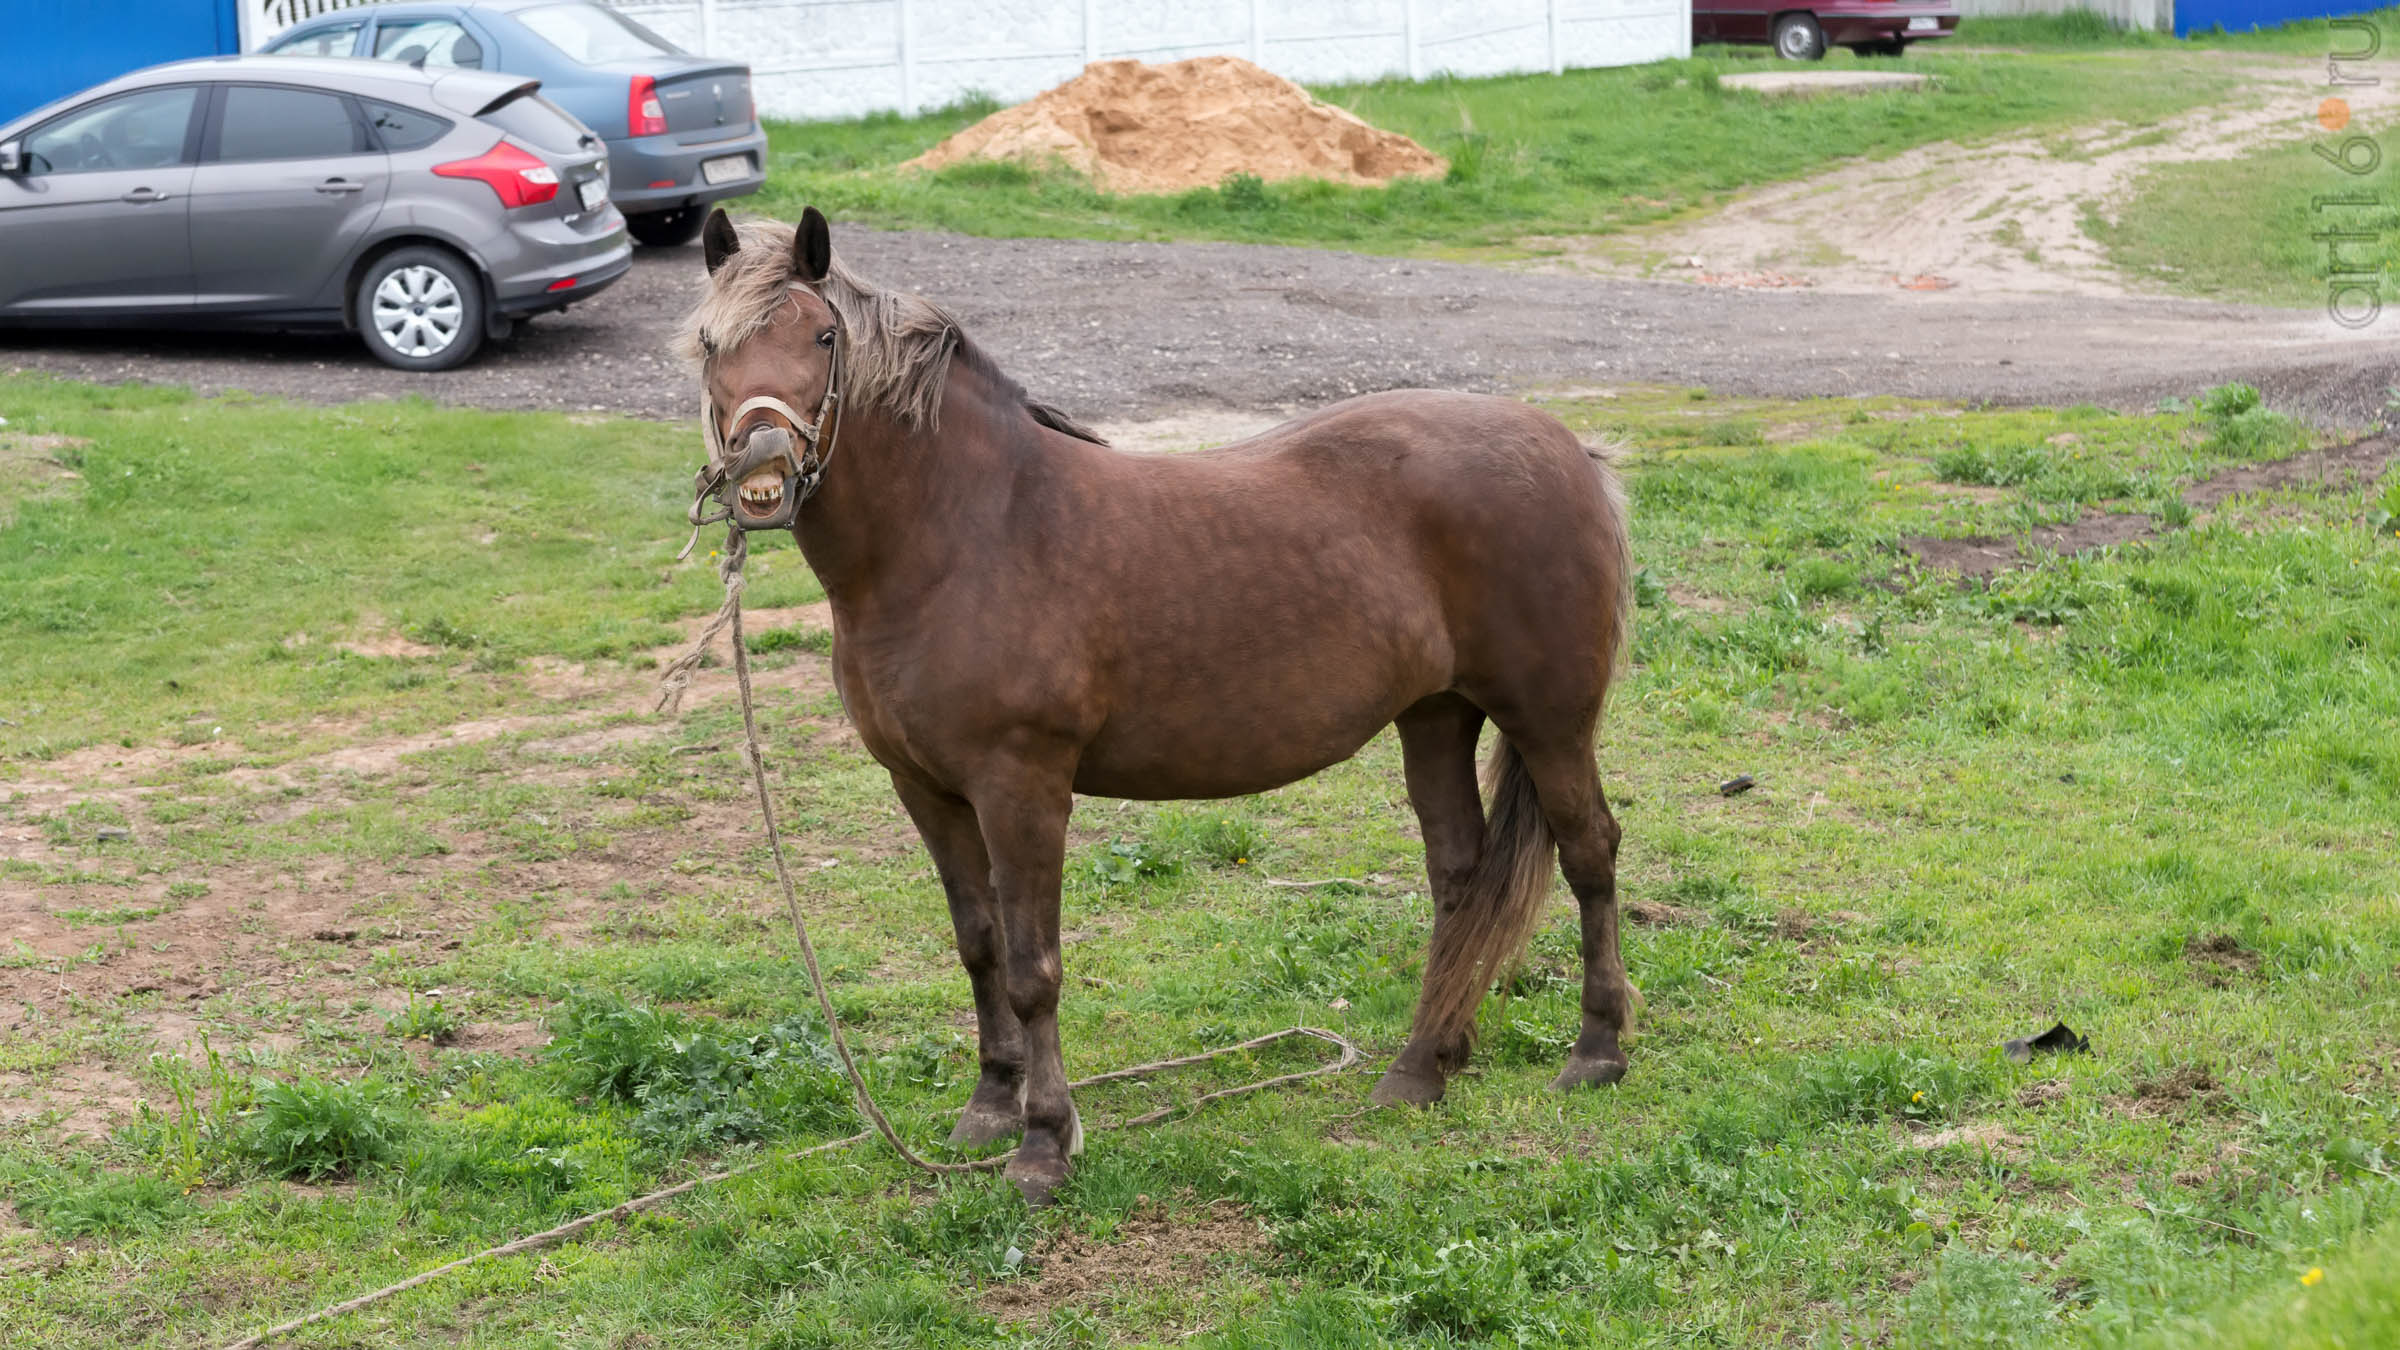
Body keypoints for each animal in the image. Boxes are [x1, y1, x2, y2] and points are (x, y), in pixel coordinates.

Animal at [686, 207, 1641, 1196]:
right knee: (1460, 875)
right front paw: (989, 1106)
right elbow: (978, 943)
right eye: (710, 344)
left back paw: (1596, 1050)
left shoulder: (1021, 788)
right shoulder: (926, 789)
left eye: (823, 337)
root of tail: (1568, 448)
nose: (761, 474)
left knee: (1589, 852)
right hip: (1437, 715)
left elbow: (1032, 966)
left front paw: (1044, 1141)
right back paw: (1422, 1067)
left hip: (1549, 719)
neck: (966, 534)